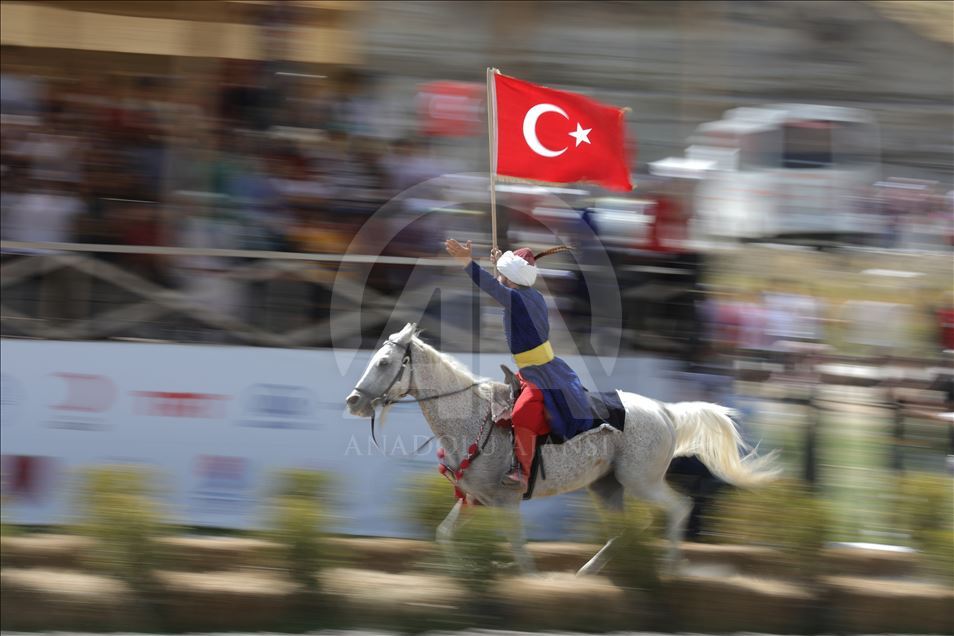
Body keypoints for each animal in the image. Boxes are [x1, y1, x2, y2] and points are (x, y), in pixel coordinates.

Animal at [346, 322, 776, 576]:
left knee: (679, 508)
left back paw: (669, 568)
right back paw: (585, 574)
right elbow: (444, 534)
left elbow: (520, 551)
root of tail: (665, 410)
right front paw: (463, 569)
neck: (473, 417)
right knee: (624, 530)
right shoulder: (473, 499)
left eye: (383, 362)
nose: (354, 401)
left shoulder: (506, 503)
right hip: (606, 487)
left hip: (642, 482)